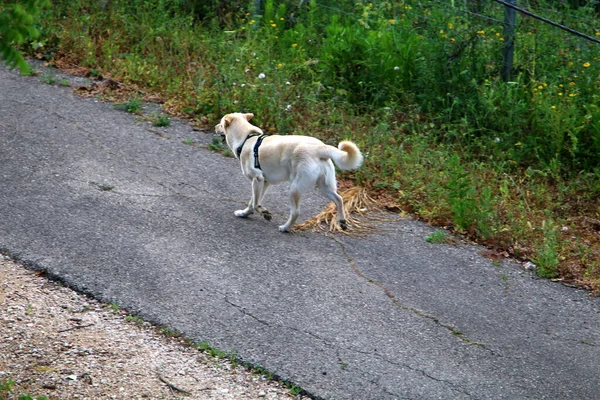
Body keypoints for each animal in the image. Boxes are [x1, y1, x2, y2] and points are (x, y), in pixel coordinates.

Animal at [217, 112, 366, 231]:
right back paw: (342, 221)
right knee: (339, 199)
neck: (246, 139)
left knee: (295, 212)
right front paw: (244, 213)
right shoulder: (263, 183)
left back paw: (285, 228)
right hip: (324, 186)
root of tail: (320, 148)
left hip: (294, 188)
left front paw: (263, 212)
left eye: (221, 124)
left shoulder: (257, 179)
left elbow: (255, 203)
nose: (214, 127)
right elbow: (252, 202)